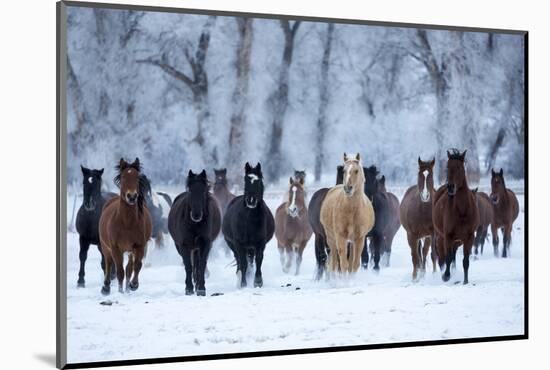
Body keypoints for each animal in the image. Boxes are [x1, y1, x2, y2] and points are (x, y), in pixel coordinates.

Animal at [99, 158, 153, 294]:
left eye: (137, 177)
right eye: (123, 177)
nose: (132, 196)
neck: (127, 223)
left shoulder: (139, 246)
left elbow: (136, 266)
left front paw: (134, 285)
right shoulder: (115, 248)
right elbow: (119, 270)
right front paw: (120, 291)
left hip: (130, 251)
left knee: (129, 268)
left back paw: (128, 288)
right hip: (105, 246)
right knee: (108, 263)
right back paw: (106, 287)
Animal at [434, 150, 480, 284]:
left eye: (459, 167)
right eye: (448, 167)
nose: (450, 187)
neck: (462, 211)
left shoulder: (469, 237)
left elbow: (465, 261)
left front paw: (465, 281)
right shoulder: (448, 236)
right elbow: (448, 258)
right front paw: (446, 276)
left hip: (458, 241)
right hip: (441, 237)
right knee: (443, 257)